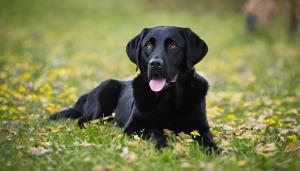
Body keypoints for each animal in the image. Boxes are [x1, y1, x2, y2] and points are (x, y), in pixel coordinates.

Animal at [49, 25, 218, 152]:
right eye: (148, 45)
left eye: (172, 45)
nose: (154, 64)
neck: (168, 97)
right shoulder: (134, 126)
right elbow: (154, 130)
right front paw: (163, 145)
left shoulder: (201, 127)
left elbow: (208, 139)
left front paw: (214, 150)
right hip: (106, 88)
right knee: (83, 120)